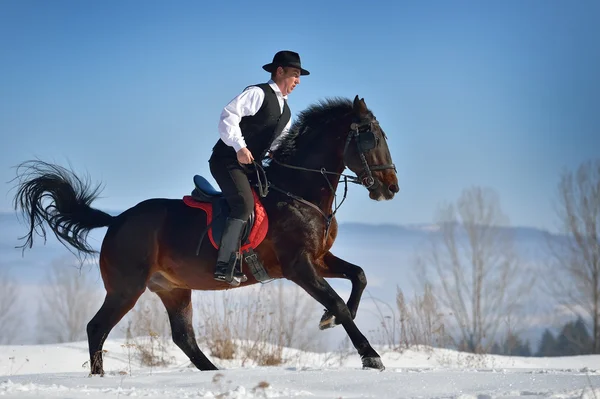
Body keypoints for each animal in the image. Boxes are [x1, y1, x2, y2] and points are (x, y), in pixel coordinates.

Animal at [10, 95, 398, 376]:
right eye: (371, 137)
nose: (390, 188)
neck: (297, 192)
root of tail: (117, 220)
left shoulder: (318, 258)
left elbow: (359, 276)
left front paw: (328, 319)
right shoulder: (298, 266)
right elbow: (337, 301)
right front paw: (370, 356)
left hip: (173, 289)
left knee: (184, 337)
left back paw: (213, 373)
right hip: (126, 288)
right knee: (97, 328)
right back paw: (99, 378)